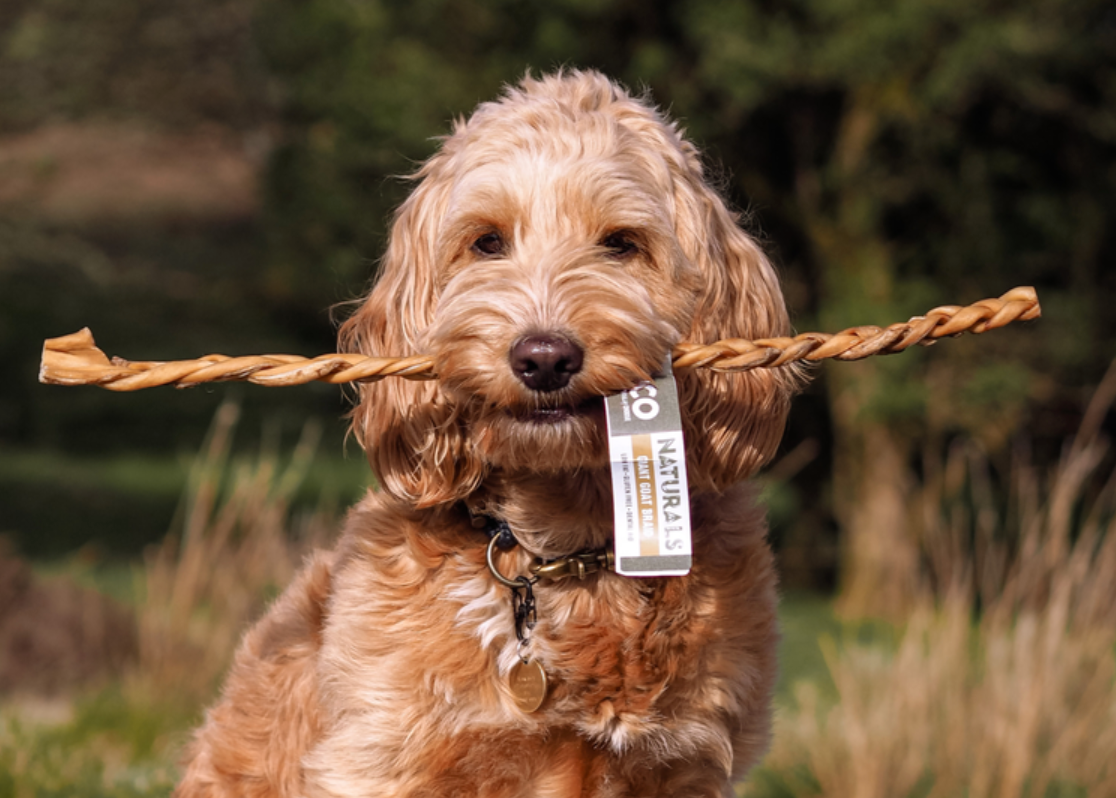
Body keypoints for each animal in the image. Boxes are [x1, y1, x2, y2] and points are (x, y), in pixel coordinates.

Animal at [176, 70, 794, 798]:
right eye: (487, 242)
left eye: (620, 243)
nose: (544, 358)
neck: (558, 552)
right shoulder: (379, 756)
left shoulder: (682, 765)